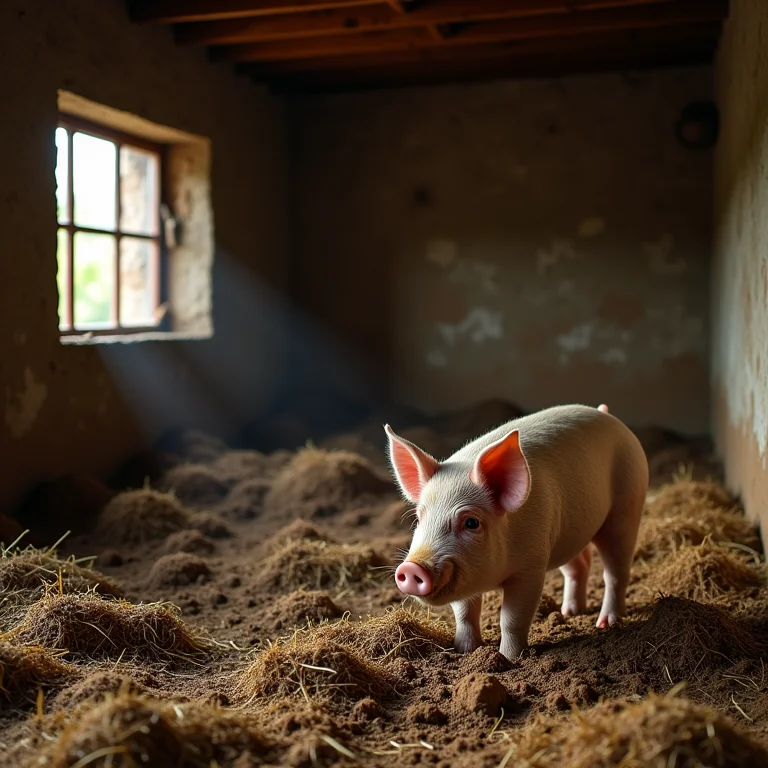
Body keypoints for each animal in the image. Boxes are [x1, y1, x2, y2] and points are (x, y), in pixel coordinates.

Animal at [385, 403, 648, 661]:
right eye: (419, 518)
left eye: (471, 523)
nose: (412, 568)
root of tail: (606, 414)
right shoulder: (466, 574)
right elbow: (464, 614)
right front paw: (464, 652)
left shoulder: (530, 568)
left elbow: (512, 619)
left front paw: (509, 659)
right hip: (567, 534)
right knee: (578, 566)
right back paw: (569, 613)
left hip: (626, 508)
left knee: (615, 572)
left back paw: (606, 623)